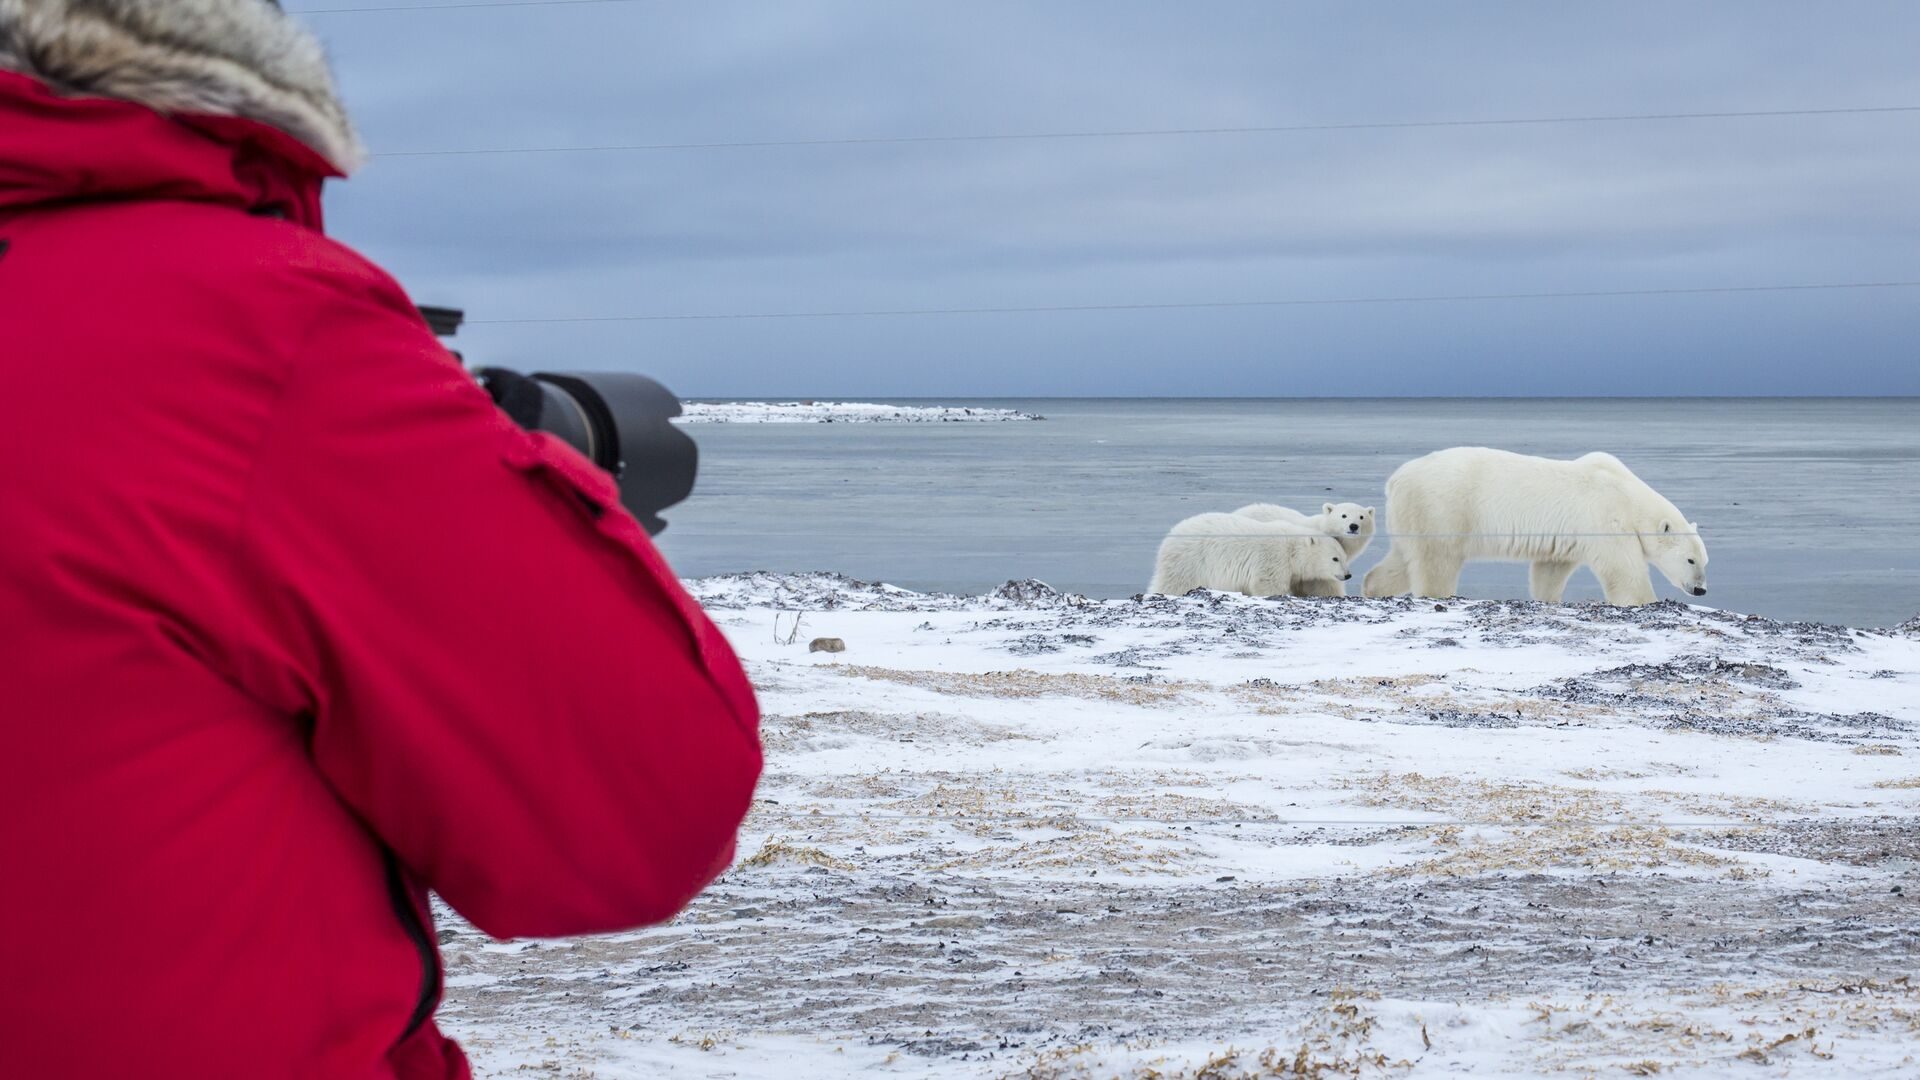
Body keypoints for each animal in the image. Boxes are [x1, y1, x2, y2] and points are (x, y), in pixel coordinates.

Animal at [1149, 512, 1352, 598]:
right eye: (1335, 559)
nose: (1348, 575)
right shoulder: (1273, 559)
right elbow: (1268, 584)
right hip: (1189, 561)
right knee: (1174, 583)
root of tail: (1170, 536)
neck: (1292, 549)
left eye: (1344, 557)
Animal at [1361, 447, 1709, 606]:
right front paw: (1644, 600)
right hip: (1441, 508)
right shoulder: (1604, 519)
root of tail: (1396, 480)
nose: (1701, 589)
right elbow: (1624, 570)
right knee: (1437, 560)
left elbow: (1550, 569)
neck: (1627, 494)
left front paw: (1548, 598)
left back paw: (1374, 587)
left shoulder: (1568, 536)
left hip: (1411, 516)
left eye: (1705, 560)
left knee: (1404, 558)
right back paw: (1438, 593)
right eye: (1690, 560)